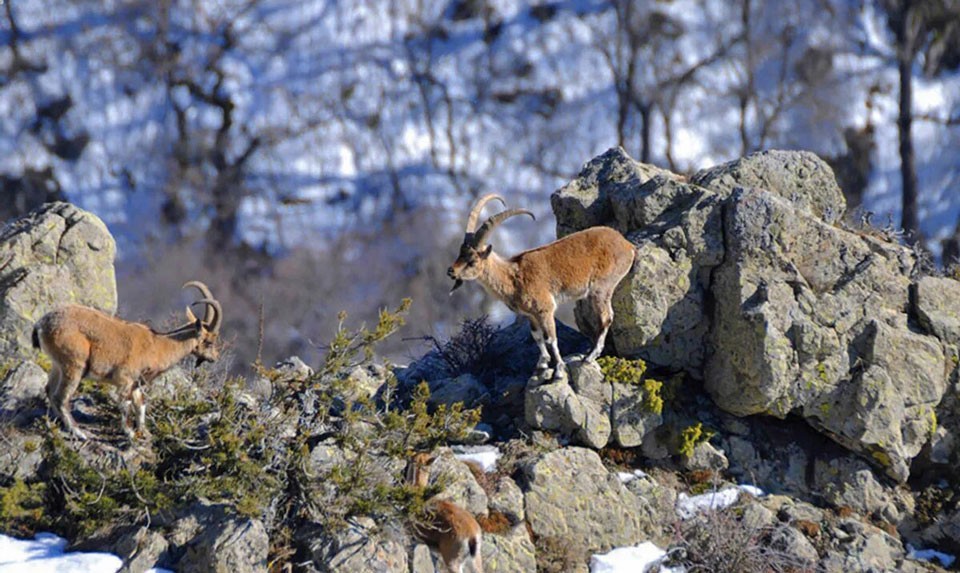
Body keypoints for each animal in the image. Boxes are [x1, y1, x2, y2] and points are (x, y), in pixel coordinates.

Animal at [32, 281, 223, 440]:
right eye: (209, 341)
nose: (214, 358)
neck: (158, 345)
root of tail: (42, 324)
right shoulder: (125, 380)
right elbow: (125, 405)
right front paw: (129, 433)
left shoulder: (136, 384)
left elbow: (140, 405)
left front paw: (145, 433)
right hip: (74, 365)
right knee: (61, 397)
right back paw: (78, 432)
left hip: (58, 365)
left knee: (49, 390)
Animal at [447, 194, 636, 380]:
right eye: (459, 254)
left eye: (472, 261)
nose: (451, 271)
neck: (513, 277)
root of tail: (628, 245)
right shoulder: (531, 315)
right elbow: (537, 337)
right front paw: (542, 364)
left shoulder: (545, 309)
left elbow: (551, 339)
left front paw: (559, 370)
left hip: (602, 288)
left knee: (606, 317)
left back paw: (590, 356)